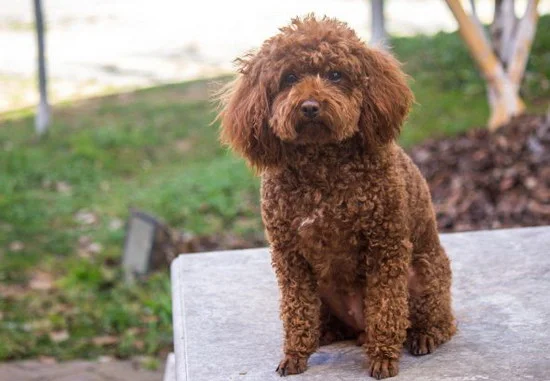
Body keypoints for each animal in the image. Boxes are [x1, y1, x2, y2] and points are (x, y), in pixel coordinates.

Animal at [219, 15, 458, 380]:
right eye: (289, 78)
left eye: (335, 74)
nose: (309, 107)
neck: (322, 167)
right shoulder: (289, 256)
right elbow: (296, 311)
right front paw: (295, 355)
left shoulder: (385, 245)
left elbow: (387, 307)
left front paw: (383, 358)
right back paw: (327, 334)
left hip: (424, 273)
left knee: (434, 320)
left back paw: (424, 335)